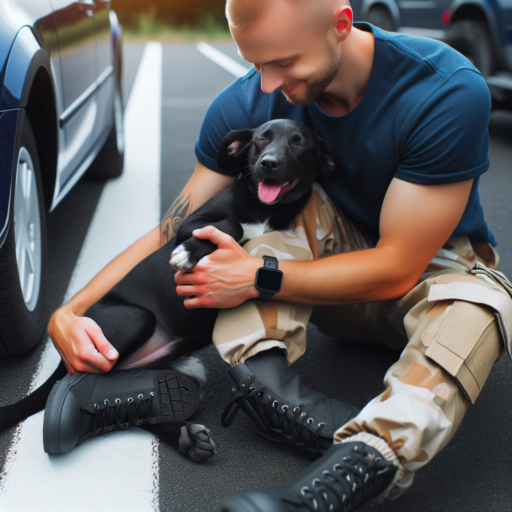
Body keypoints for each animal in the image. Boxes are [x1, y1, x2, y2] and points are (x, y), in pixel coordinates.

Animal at [0, 121, 336, 456]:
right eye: (260, 141)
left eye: (299, 143)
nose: (268, 163)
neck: (264, 209)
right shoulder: (190, 223)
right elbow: (232, 226)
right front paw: (188, 253)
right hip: (137, 320)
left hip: (181, 366)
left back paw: (186, 436)